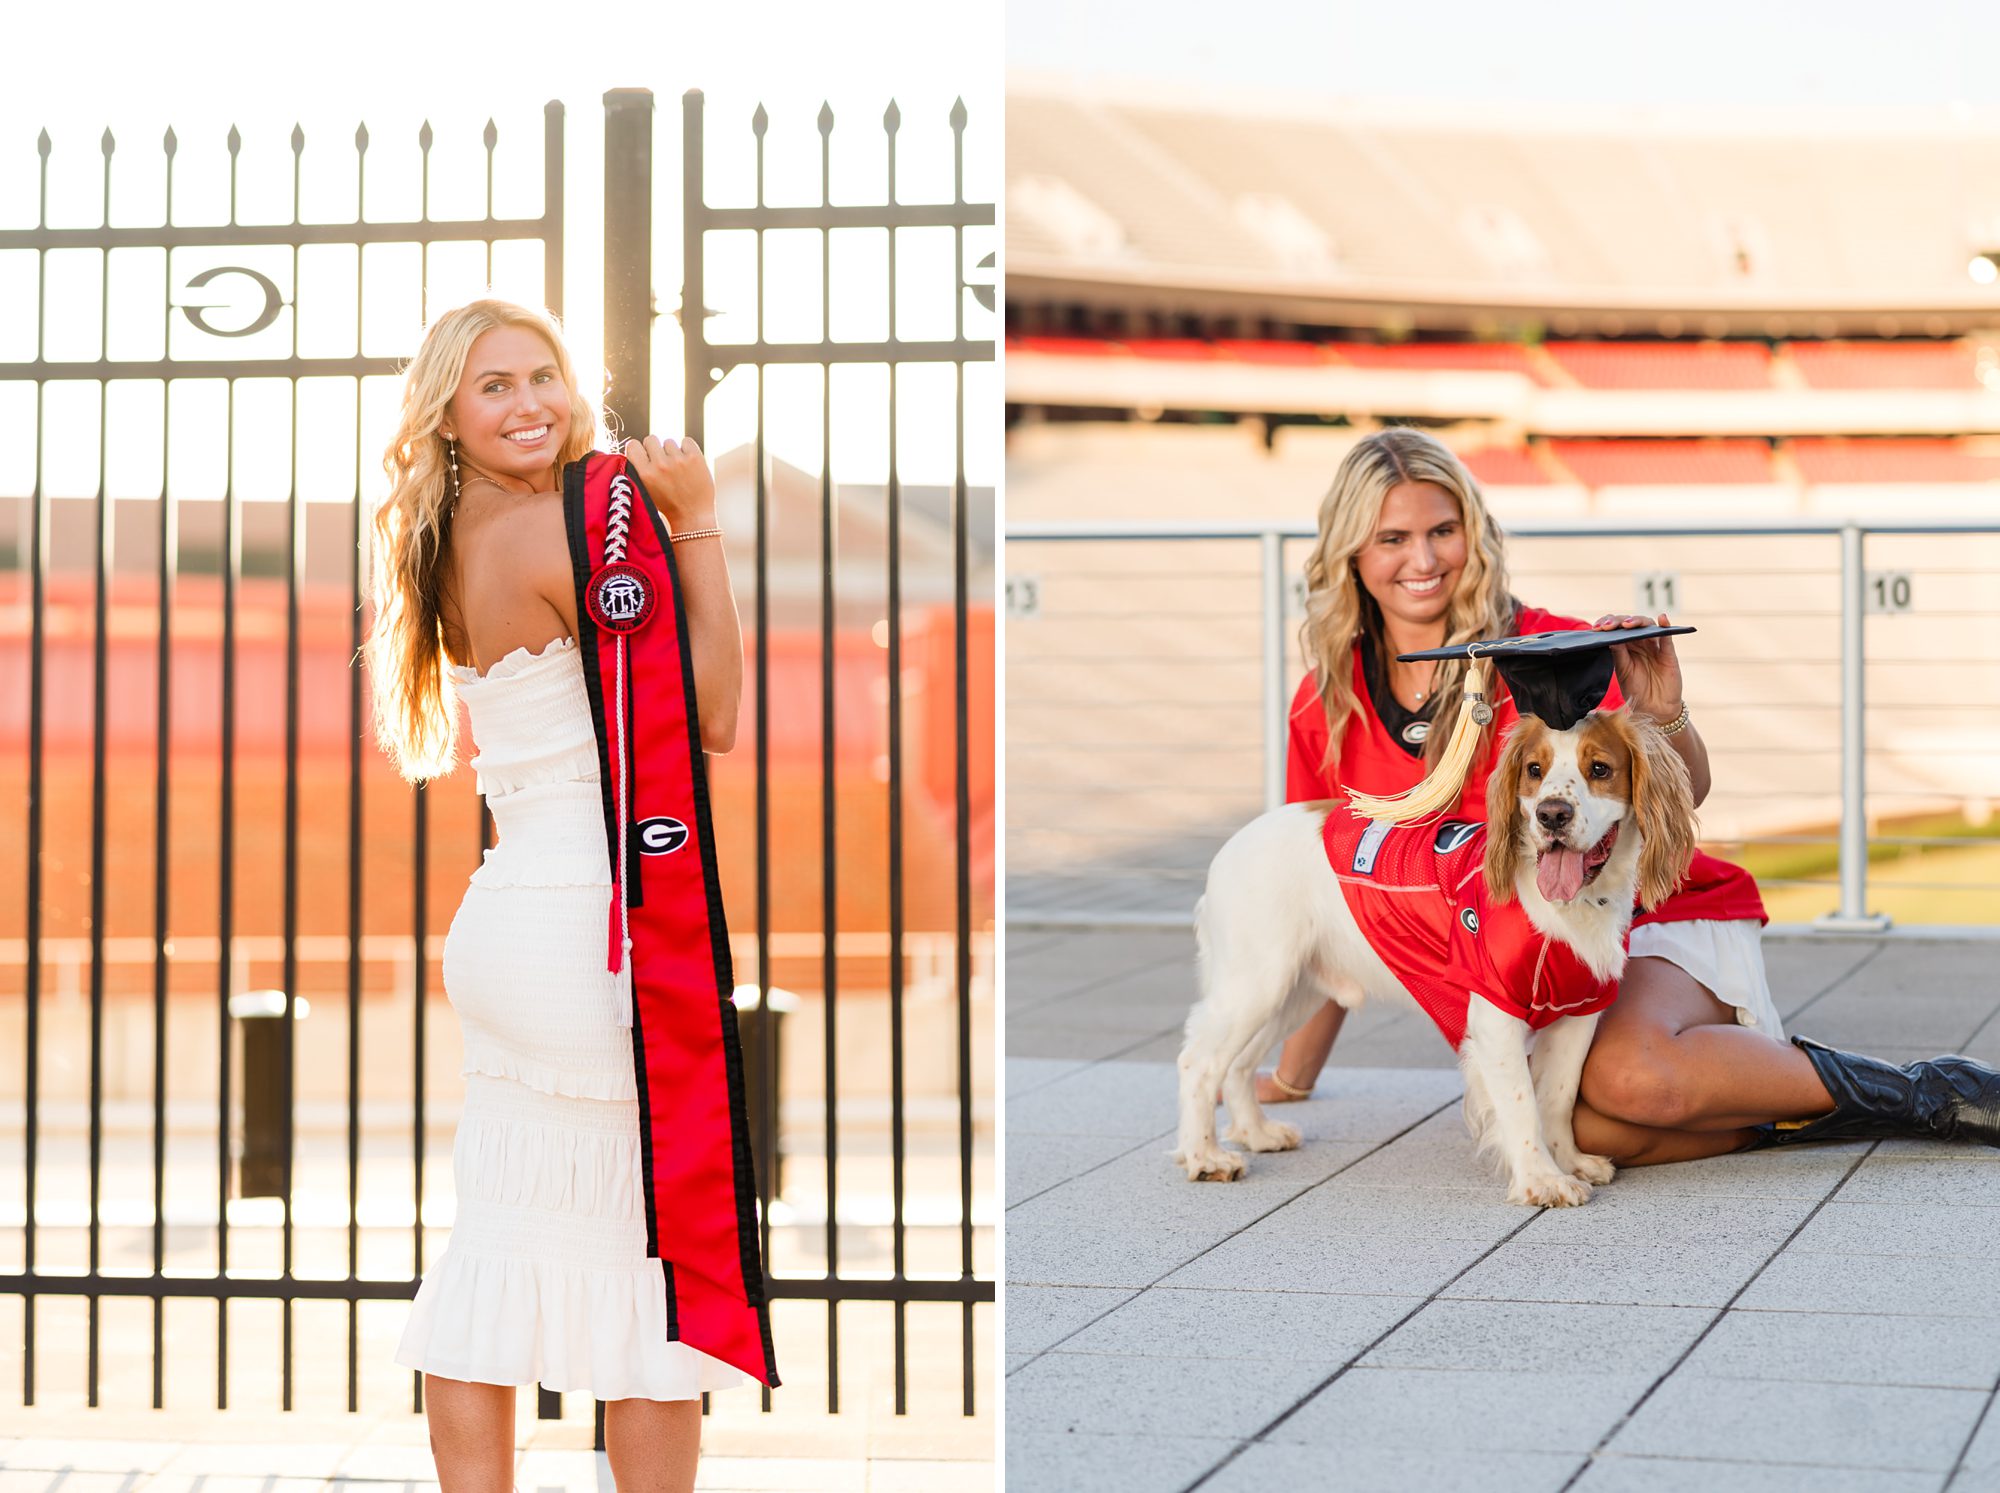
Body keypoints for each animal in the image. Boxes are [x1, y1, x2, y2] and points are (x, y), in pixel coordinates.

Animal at [1168, 704, 1688, 1200]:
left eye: (1600, 769)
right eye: (1534, 770)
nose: (1552, 815)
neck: (1571, 905)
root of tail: (1231, 846)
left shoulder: (1579, 1013)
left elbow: (1557, 1096)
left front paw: (1569, 1162)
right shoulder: (1495, 1017)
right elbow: (1523, 1106)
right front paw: (1542, 1180)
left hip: (1293, 993)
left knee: (1238, 1063)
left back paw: (1255, 1133)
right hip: (1257, 984)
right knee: (1199, 1062)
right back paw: (1205, 1157)